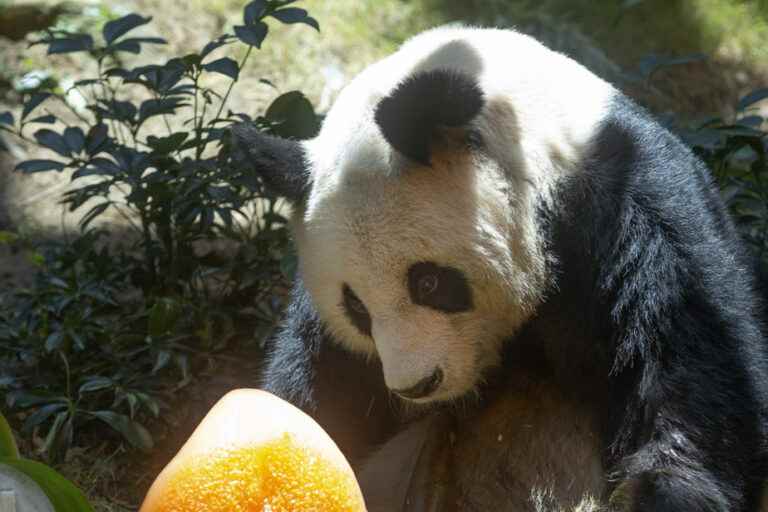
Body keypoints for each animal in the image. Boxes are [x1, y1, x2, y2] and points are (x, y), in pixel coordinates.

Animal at [231, 26, 768, 510]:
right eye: (356, 308)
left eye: (428, 282)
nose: (416, 385)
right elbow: (317, 391)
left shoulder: (635, 217)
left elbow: (685, 397)